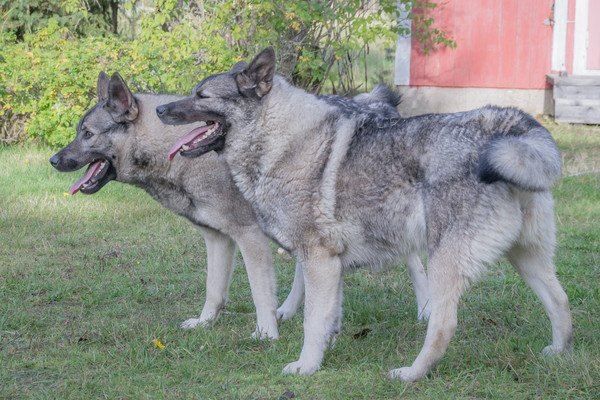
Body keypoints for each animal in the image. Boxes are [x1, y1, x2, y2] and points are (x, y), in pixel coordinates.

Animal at [155, 48, 572, 382]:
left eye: (202, 96)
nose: (158, 109)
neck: (280, 141)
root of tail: (504, 125)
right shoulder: (330, 265)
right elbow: (327, 318)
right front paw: (324, 351)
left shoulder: (318, 259)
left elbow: (312, 320)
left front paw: (306, 366)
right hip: (528, 259)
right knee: (560, 301)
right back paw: (558, 352)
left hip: (445, 262)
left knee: (443, 325)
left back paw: (412, 373)